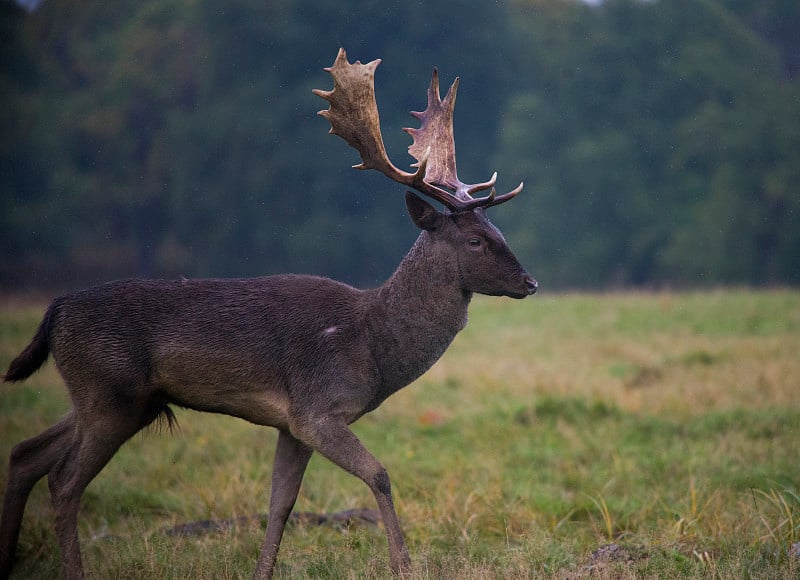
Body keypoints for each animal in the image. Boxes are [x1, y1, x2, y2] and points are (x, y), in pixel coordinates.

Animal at [3, 47, 536, 576]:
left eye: (497, 230)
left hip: (109, 398)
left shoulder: (291, 424)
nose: (530, 282)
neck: (371, 345)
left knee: (26, 453)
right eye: (476, 240)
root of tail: (54, 312)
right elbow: (380, 474)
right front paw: (402, 565)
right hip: (109, 394)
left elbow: (281, 501)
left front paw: (263, 571)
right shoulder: (318, 410)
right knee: (64, 481)